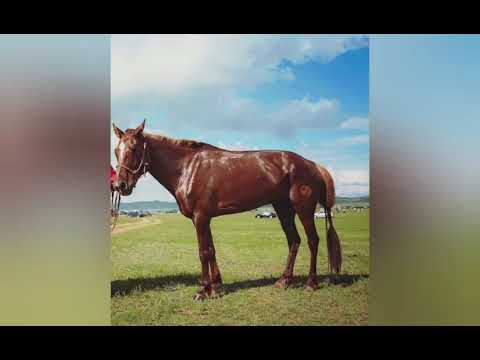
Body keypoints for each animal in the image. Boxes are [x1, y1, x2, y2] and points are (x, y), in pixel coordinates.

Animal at [112, 119, 342, 300]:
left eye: (134, 149)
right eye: (116, 151)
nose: (120, 185)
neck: (187, 167)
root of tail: (312, 165)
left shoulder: (200, 217)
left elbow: (203, 252)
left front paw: (203, 291)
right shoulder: (203, 219)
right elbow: (211, 249)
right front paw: (216, 287)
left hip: (304, 209)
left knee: (313, 240)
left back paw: (311, 283)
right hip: (284, 210)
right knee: (294, 241)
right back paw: (284, 281)